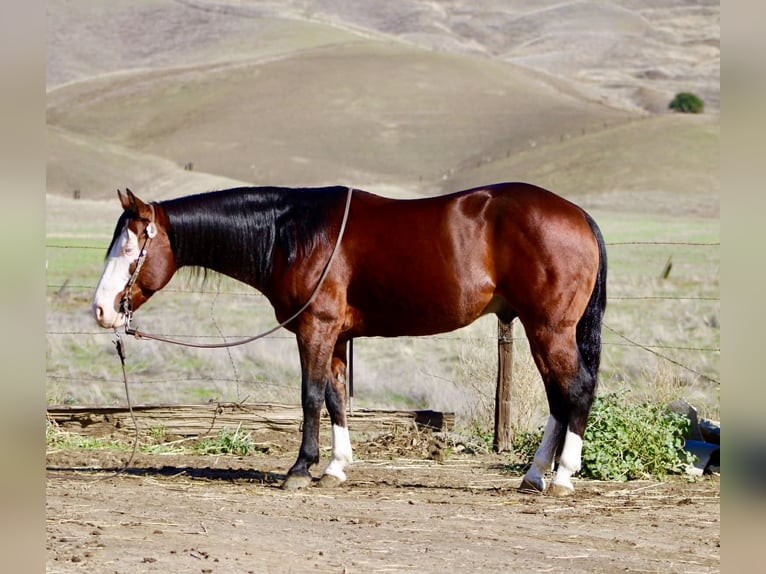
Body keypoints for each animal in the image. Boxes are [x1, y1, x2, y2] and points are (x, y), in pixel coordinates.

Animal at [92, 182, 607, 496]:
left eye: (131, 247)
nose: (101, 310)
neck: (291, 233)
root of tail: (578, 214)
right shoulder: (336, 336)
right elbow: (336, 397)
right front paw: (336, 467)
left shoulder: (315, 328)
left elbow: (310, 396)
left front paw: (301, 469)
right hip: (539, 329)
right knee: (558, 398)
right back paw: (534, 474)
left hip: (549, 328)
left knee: (576, 390)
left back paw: (562, 476)